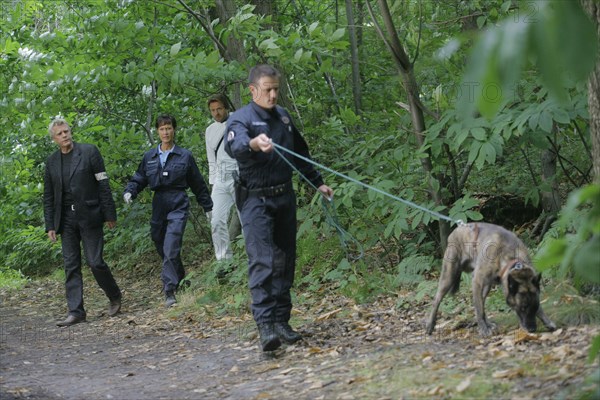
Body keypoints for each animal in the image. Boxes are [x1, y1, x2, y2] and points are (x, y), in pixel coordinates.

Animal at [424, 223, 556, 336]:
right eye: (523, 307)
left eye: (535, 307)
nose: (532, 329)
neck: (509, 257)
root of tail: (455, 231)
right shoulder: (476, 281)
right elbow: (479, 309)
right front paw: (483, 329)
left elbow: (481, 307)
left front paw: (547, 321)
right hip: (449, 276)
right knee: (437, 300)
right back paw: (430, 325)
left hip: (486, 286)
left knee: (482, 302)